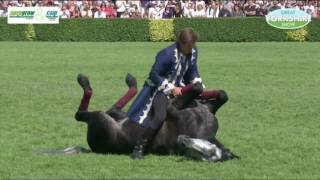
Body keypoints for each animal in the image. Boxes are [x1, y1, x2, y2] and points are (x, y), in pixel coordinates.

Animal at [74, 73, 239, 162]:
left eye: (207, 153)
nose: (183, 140)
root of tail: (93, 147)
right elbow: (221, 94)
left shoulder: (172, 108)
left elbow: (195, 89)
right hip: (121, 115)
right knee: (114, 108)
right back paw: (131, 81)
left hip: (101, 120)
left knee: (80, 115)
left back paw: (84, 82)